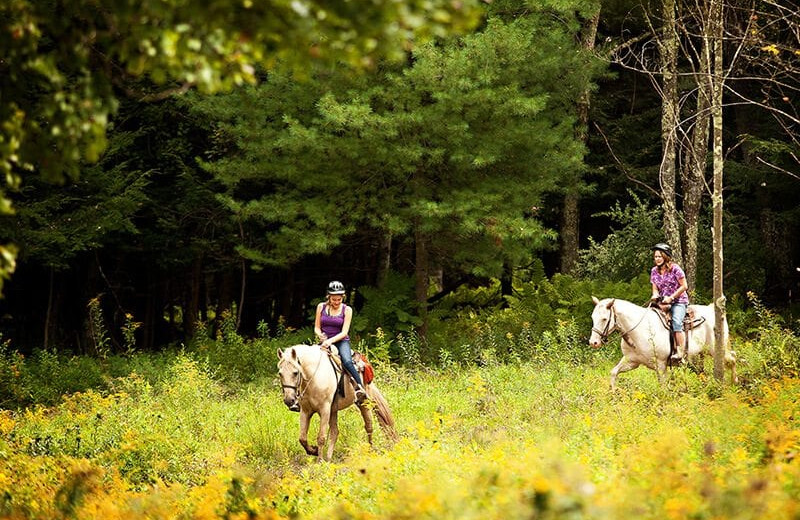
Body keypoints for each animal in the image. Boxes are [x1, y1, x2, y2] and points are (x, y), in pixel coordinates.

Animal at [588, 296, 736, 390]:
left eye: (604, 318)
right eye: (593, 317)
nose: (593, 342)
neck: (640, 329)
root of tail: (712, 309)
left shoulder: (661, 365)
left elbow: (662, 386)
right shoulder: (632, 361)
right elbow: (614, 372)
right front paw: (613, 393)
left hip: (716, 349)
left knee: (732, 359)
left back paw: (734, 382)